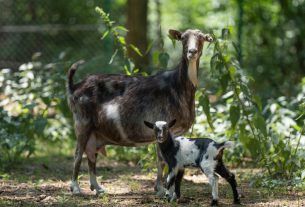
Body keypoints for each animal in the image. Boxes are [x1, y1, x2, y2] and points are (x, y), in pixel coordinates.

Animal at [67, 28, 213, 194]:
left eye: (202, 38)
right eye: (183, 38)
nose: (192, 52)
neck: (177, 86)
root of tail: (74, 87)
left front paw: (163, 189)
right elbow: (162, 160)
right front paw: (162, 190)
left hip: (94, 132)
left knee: (91, 155)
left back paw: (98, 188)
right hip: (82, 123)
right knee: (78, 153)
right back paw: (76, 188)